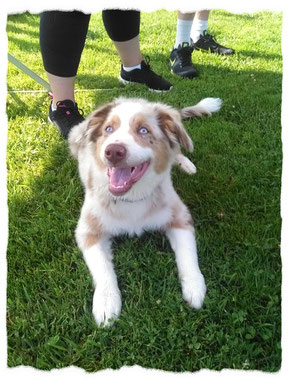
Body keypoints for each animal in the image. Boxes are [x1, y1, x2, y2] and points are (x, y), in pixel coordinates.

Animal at [68, 97, 222, 328]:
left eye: (143, 130)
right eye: (108, 129)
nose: (113, 151)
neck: (131, 198)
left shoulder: (180, 217)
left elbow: (188, 255)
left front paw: (195, 288)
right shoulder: (88, 231)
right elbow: (103, 269)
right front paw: (106, 303)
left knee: (177, 148)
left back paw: (186, 164)